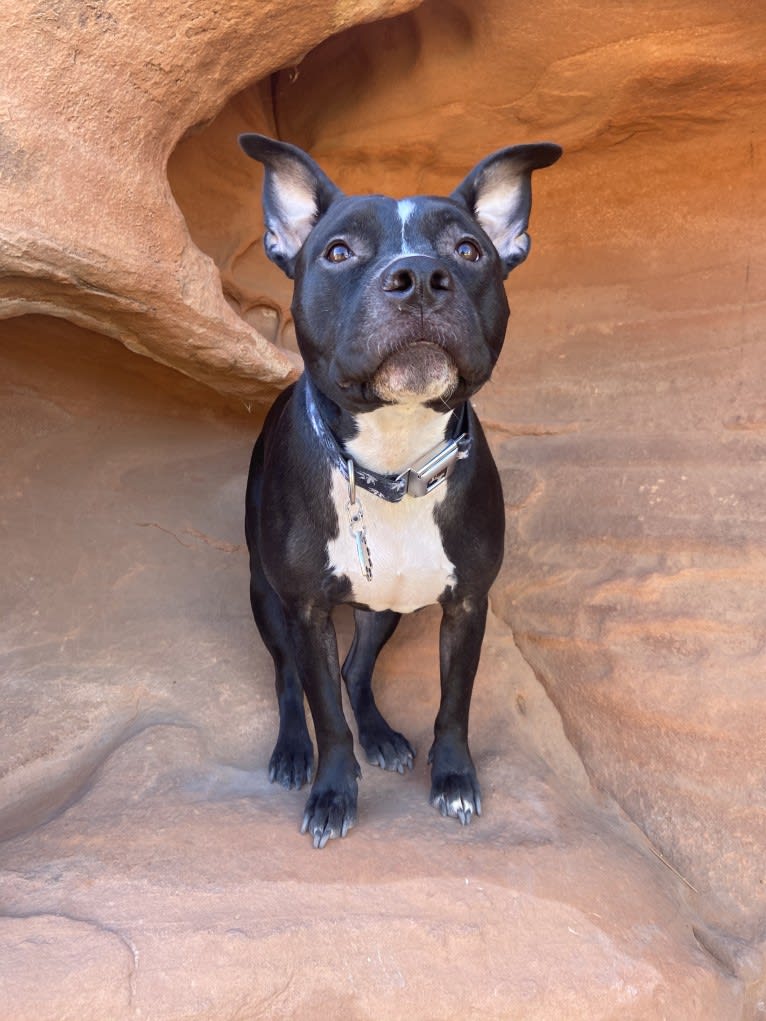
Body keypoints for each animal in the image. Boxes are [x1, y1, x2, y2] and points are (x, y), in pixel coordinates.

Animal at [241, 131, 563, 845]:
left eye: (468, 250)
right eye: (338, 252)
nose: (418, 277)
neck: (393, 462)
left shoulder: (467, 605)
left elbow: (454, 703)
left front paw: (454, 778)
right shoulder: (306, 609)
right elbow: (325, 714)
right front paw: (333, 790)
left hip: (385, 605)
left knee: (355, 670)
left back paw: (383, 736)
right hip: (265, 595)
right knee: (288, 678)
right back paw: (292, 751)